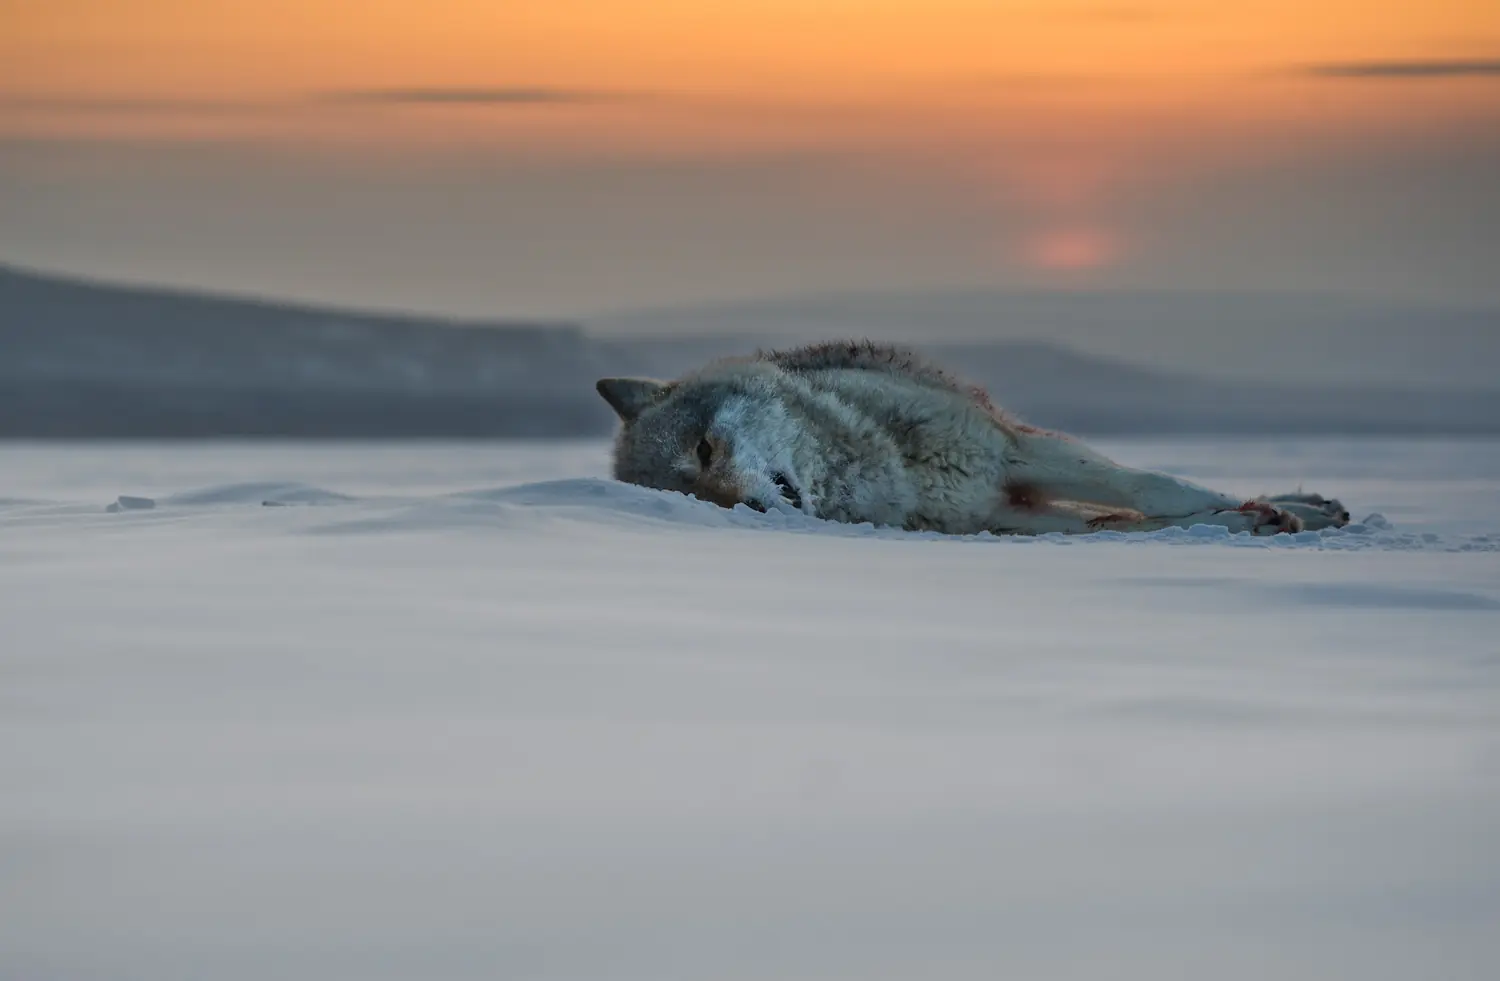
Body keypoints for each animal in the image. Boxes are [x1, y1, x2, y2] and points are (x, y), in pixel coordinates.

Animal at [595, 340, 1351, 536]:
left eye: (704, 450)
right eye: (698, 498)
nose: (750, 506)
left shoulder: (1015, 451)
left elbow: (1156, 489)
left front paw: (1270, 513)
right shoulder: (1004, 515)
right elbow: (1131, 523)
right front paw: (1245, 522)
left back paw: (1309, 504)